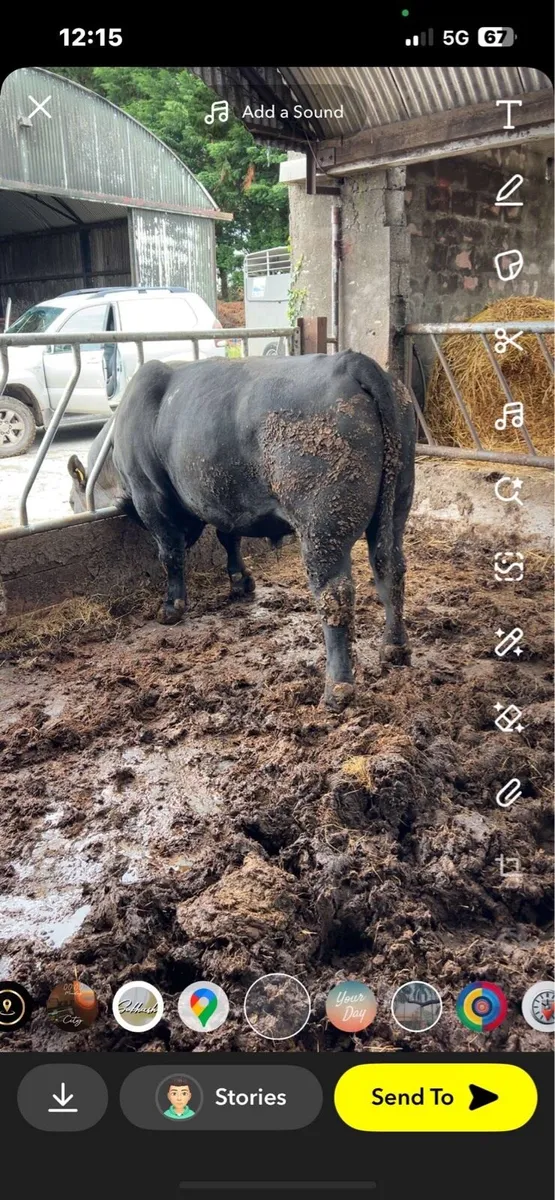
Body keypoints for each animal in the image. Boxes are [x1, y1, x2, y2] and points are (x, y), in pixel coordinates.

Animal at [68, 351, 416, 710]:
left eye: (69, 501)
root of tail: (351, 360)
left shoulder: (150, 497)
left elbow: (171, 554)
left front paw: (171, 607)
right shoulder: (226, 501)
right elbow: (228, 536)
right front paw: (240, 581)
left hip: (323, 526)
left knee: (336, 594)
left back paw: (338, 686)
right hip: (396, 505)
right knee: (390, 569)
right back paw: (395, 647)